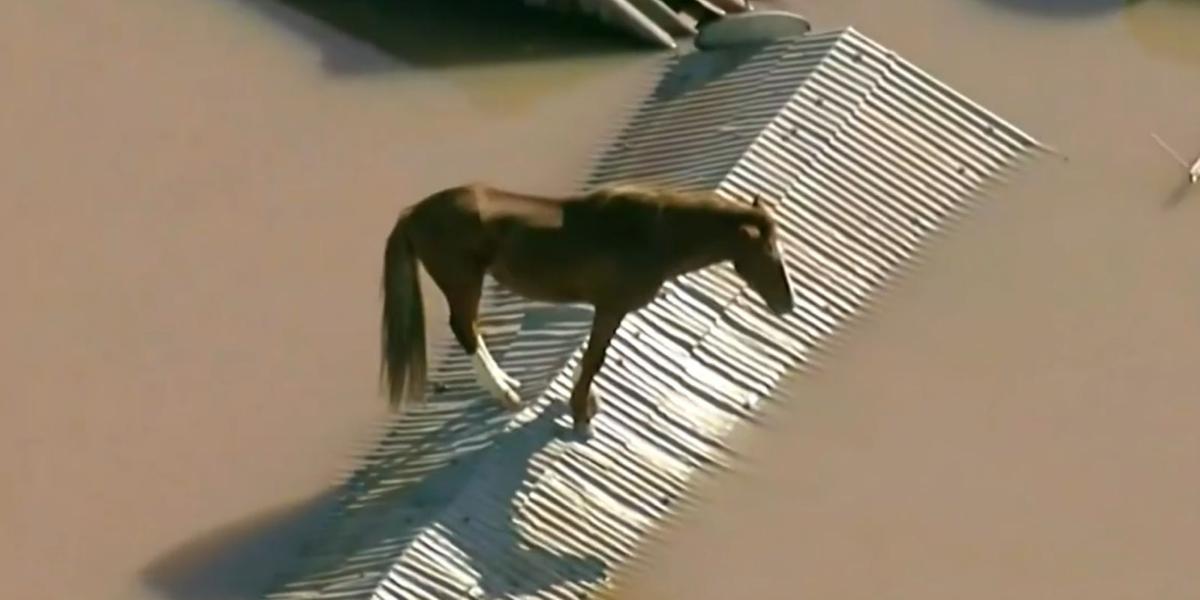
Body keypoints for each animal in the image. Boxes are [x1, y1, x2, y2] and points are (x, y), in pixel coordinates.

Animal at [384, 181, 792, 436]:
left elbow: (592, 357)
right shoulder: (612, 307)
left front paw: (583, 405)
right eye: (769, 252)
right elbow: (596, 357)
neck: (653, 235)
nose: (787, 304)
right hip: (463, 282)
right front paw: (581, 414)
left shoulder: (608, 309)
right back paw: (505, 395)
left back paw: (507, 384)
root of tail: (413, 213)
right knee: (464, 327)